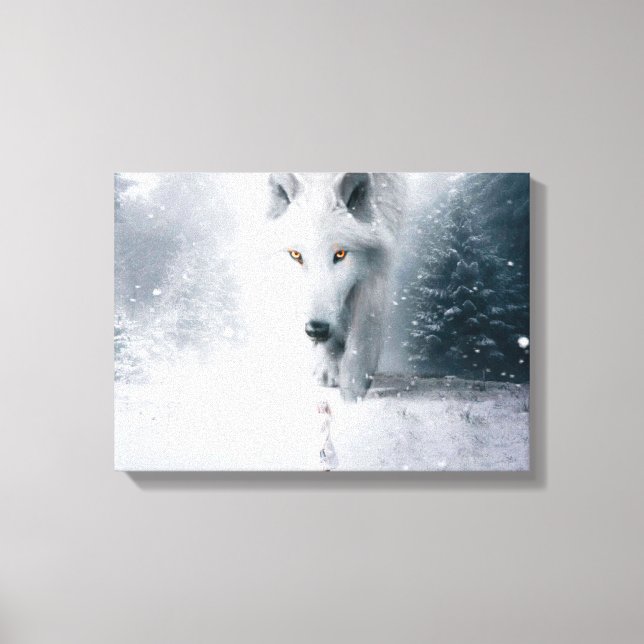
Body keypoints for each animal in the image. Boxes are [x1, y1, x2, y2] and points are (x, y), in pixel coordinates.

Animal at [262, 172, 404, 401]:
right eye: (296, 255)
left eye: (340, 254)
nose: (316, 330)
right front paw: (327, 366)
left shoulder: (376, 262)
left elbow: (366, 326)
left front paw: (354, 386)